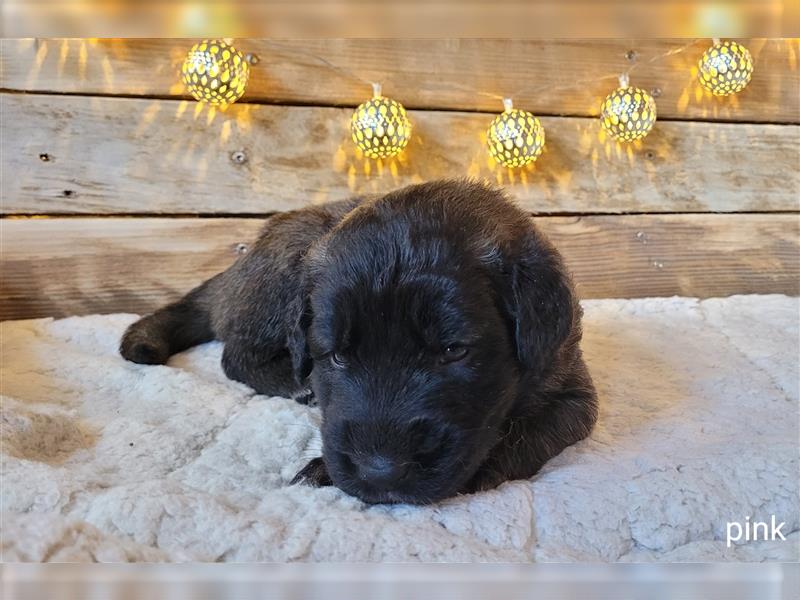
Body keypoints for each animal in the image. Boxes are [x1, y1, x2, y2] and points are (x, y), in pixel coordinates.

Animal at [122, 180, 596, 504]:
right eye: (336, 356)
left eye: (454, 351)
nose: (380, 472)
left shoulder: (571, 393)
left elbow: (524, 434)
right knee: (235, 356)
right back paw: (297, 385)